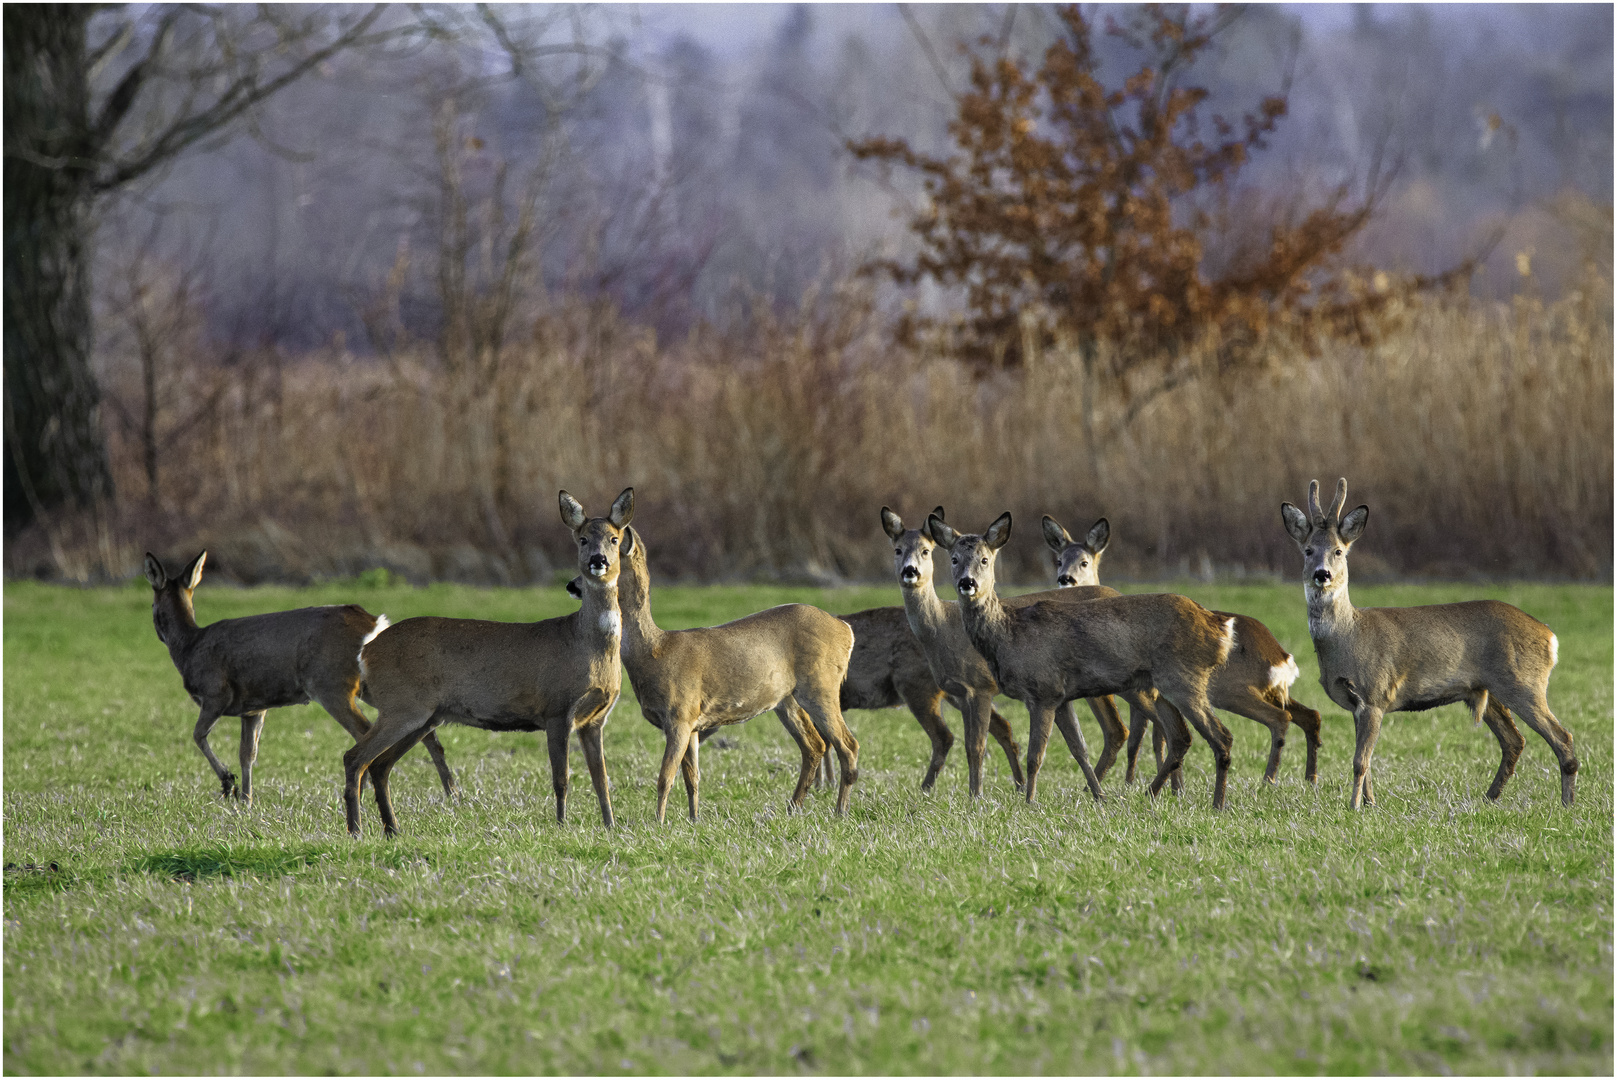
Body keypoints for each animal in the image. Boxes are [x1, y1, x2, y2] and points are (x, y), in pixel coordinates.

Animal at [143, 552, 459, 805]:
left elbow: (198, 735)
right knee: (426, 732)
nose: (157, 632)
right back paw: (452, 793)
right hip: (374, 686)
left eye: (151, 606)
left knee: (365, 733)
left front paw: (227, 784)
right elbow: (247, 754)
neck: (190, 646)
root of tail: (373, 623)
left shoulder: (215, 693)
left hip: (331, 685)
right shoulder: (254, 708)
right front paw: (245, 800)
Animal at [341, 488, 630, 834]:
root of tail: (366, 652)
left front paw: (611, 827)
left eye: (614, 539)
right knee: (355, 757)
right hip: (402, 705)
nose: (598, 561)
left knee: (380, 764)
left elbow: (602, 780)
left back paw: (392, 830)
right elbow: (561, 779)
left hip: (424, 715)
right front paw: (561, 825)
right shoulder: (557, 708)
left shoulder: (596, 719)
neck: (586, 645)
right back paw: (357, 831)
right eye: (582, 539)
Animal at [886, 501, 1138, 798]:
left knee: (1127, 724)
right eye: (897, 549)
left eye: (926, 551)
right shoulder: (960, 692)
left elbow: (977, 746)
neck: (942, 628)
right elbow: (972, 744)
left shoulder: (981, 686)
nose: (910, 571)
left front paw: (976, 796)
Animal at [931, 510, 1241, 805]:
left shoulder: (1043, 690)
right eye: (954, 559)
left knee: (1221, 736)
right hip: (1158, 685)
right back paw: (1151, 794)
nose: (967, 582)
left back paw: (1217, 803)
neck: (1009, 635)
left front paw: (1029, 801)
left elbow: (1035, 755)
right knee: (1180, 736)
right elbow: (1078, 748)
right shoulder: (1061, 697)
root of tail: (1218, 627)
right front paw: (1099, 796)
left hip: (1183, 677)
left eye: (984, 559)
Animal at [1280, 475, 1571, 805]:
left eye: (1339, 551)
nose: (1322, 574)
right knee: (1515, 740)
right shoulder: (1357, 704)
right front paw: (1369, 803)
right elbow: (1366, 762)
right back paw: (1489, 797)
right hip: (1488, 690)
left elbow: (1360, 762)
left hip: (1524, 682)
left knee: (1562, 737)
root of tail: (1549, 635)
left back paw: (1566, 803)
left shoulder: (1375, 692)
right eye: (1308, 550)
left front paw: (1354, 806)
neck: (1348, 636)